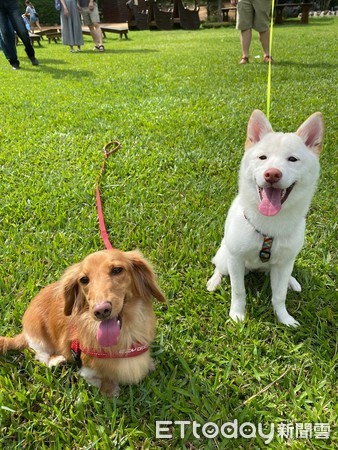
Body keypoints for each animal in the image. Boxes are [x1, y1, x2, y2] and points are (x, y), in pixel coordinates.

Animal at [0, 248, 166, 396]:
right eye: (84, 280)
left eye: (117, 270)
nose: (101, 311)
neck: (125, 336)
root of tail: (24, 332)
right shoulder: (88, 368)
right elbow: (103, 378)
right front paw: (110, 392)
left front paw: (149, 364)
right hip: (38, 337)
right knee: (41, 355)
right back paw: (56, 360)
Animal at [207, 109, 324, 326]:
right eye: (262, 157)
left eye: (292, 159)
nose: (272, 174)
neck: (270, 224)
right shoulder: (235, 260)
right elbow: (238, 291)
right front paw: (237, 315)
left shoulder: (284, 263)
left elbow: (279, 295)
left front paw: (284, 317)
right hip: (226, 257)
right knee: (219, 267)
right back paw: (214, 281)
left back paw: (292, 282)